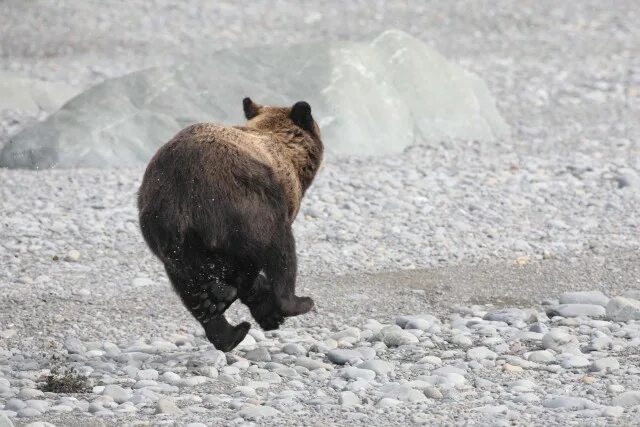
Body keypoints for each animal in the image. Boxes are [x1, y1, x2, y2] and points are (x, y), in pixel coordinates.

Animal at [137, 98, 322, 352]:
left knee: (184, 282)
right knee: (279, 247)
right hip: (241, 200)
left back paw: (225, 325)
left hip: (164, 229)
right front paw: (267, 307)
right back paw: (296, 302)